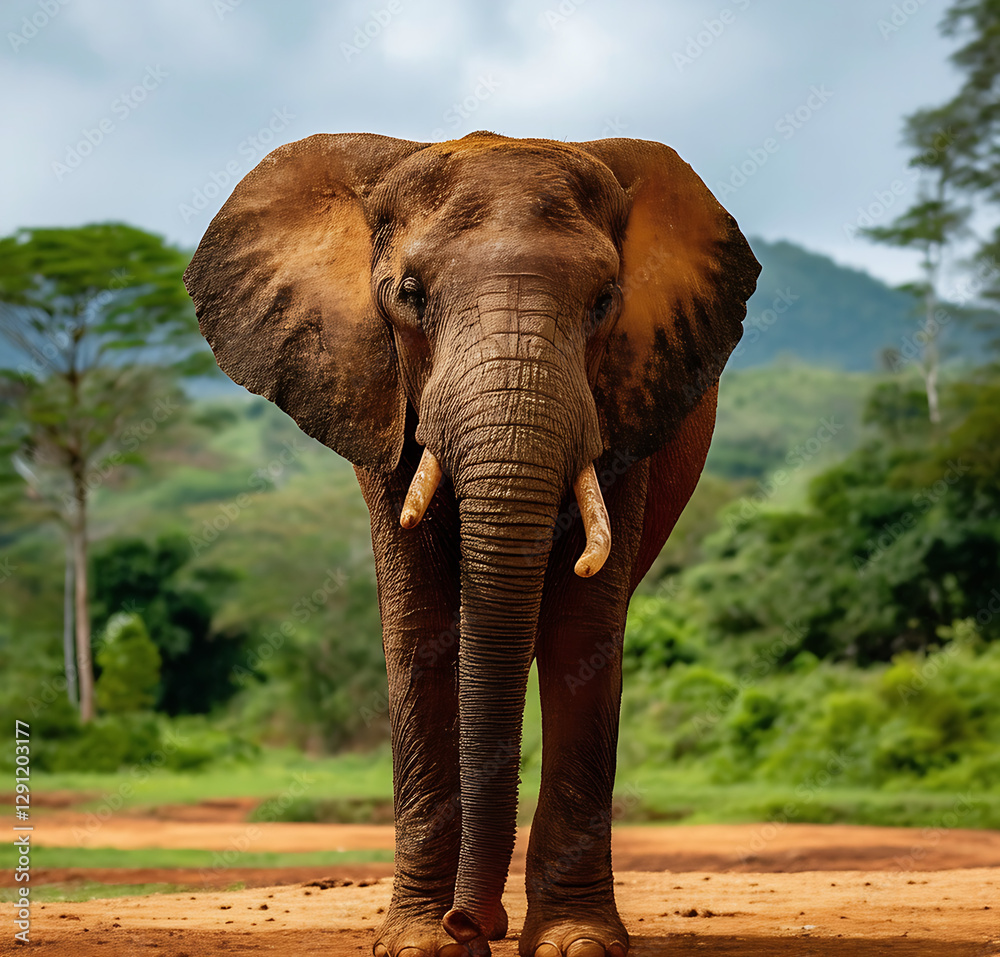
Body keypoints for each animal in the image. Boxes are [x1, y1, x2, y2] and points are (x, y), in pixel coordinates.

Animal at [184, 131, 760, 957]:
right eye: (409, 294)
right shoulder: (378, 394)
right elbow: (420, 627)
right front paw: (426, 943)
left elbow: (584, 632)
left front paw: (575, 943)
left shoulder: (628, 402)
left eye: (604, 302)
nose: (470, 919)